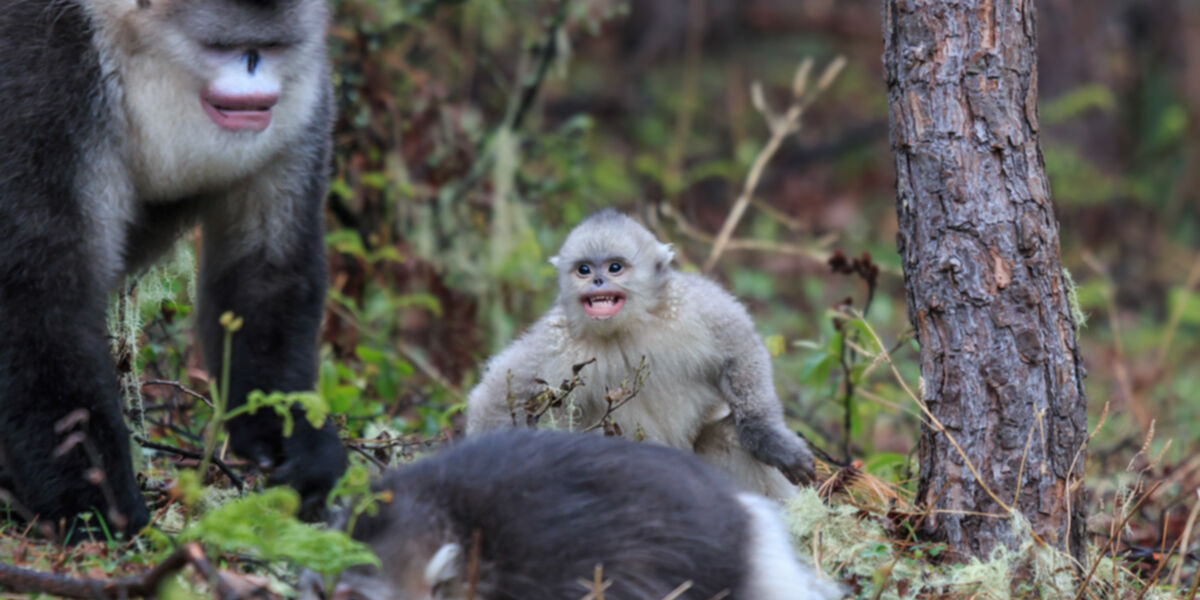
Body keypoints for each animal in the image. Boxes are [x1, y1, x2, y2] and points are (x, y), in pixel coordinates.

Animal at [0, 0, 344, 538]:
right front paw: (100, 508)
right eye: (224, 47)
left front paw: (297, 442)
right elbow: (38, 299)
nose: (253, 69)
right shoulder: (45, 86)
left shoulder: (304, 105)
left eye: (269, 48)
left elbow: (267, 276)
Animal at [466, 210, 814, 501]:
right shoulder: (555, 341)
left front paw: (768, 437)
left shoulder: (690, 304)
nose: (597, 281)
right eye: (583, 270)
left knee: (730, 435)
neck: (626, 328)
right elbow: (494, 401)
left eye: (614, 267)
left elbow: (739, 350)